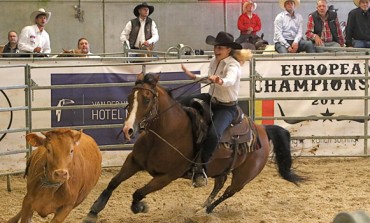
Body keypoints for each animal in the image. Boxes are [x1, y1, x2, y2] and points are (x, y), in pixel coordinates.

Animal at [83, 73, 304, 221]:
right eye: (130, 98)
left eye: (146, 99)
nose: (128, 130)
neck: (164, 135)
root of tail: (262, 130)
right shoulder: (134, 161)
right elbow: (113, 182)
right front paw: (94, 209)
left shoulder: (166, 177)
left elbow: (138, 192)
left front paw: (140, 207)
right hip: (221, 168)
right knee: (220, 183)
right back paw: (202, 206)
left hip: (244, 176)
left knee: (229, 191)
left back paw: (205, 210)